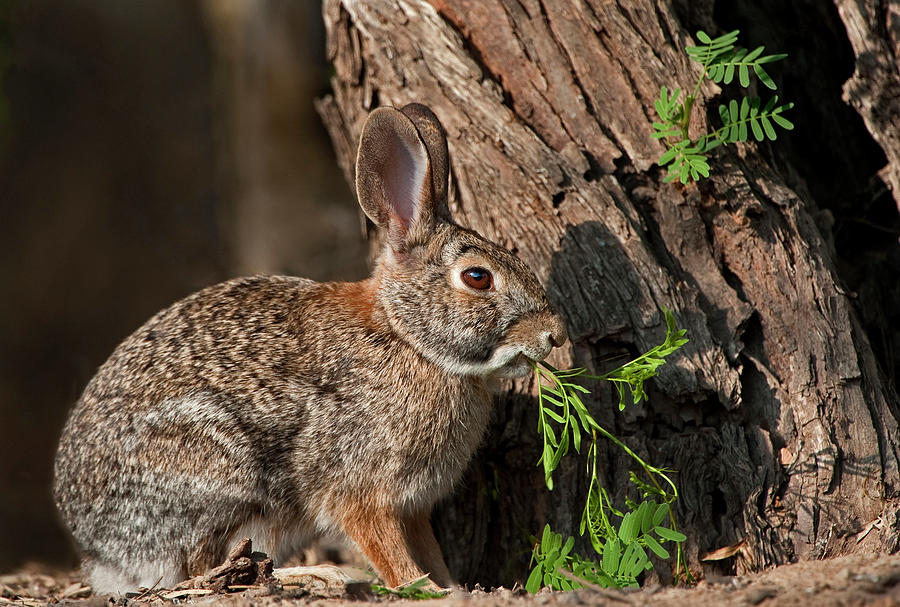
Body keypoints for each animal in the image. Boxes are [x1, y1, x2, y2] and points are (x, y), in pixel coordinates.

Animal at [52, 104, 568, 592]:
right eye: (478, 277)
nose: (554, 335)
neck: (408, 338)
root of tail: (101, 555)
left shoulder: (413, 504)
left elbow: (428, 549)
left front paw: (451, 586)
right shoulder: (360, 489)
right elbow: (388, 549)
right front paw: (421, 588)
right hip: (214, 470)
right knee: (202, 568)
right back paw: (317, 575)